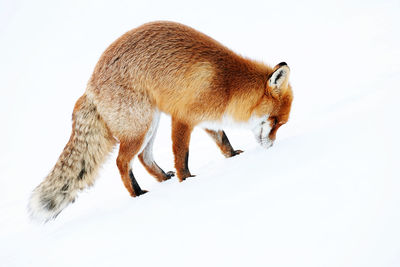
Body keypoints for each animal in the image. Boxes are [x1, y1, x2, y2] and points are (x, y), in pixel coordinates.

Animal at [27, 21, 290, 223]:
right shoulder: (182, 117)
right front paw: (188, 181)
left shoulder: (207, 119)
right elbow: (182, 155)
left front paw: (233, 156)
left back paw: (163, 178)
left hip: (151, 122)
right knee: (122, 161)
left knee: (143, 158)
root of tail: (89, 87)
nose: (272, 147)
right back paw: (138, 194)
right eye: (275, 121)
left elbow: (223, 141)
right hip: (141, 126)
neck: (227, 85)